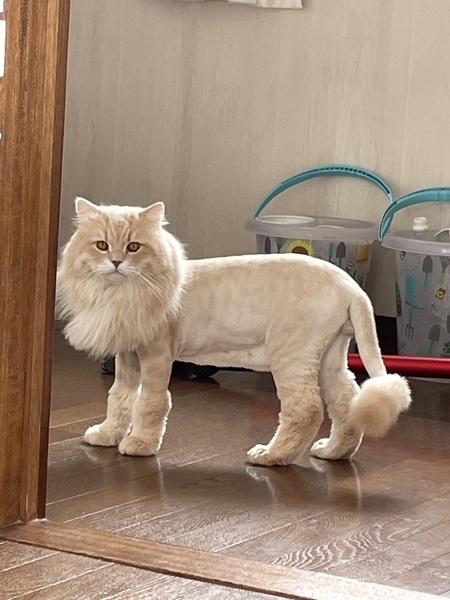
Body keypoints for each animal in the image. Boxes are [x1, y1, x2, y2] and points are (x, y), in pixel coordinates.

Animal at [56, 198, 412, 466]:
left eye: (133, 247)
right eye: (102, 245)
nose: (116, 262)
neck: (121, 295)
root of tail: (351, 285)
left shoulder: (157, 355)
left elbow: (151, 402)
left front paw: (139, 445)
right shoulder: (128, 354)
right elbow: (119, 399)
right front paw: (106, 436)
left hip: (292, 356)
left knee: (306, 410)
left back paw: (271, 456)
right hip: (329, 357)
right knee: (347, 402)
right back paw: (332, 453)